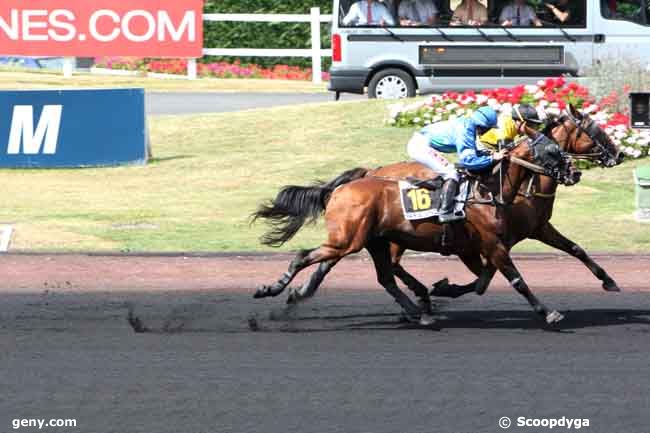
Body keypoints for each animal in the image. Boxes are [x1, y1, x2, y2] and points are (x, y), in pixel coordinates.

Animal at [253, 125, 576, 324]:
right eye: (551, 150)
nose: (574, 172)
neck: (489, 191)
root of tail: (341, 189)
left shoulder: (483, 246)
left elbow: (485, 281)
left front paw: (443, 288)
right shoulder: (492, 244)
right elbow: (515, 280)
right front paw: (548, 313)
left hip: (372, 241)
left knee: (384, 277)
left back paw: (417, 312)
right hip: (349, 240)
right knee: (303, 256)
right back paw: (271, 289)